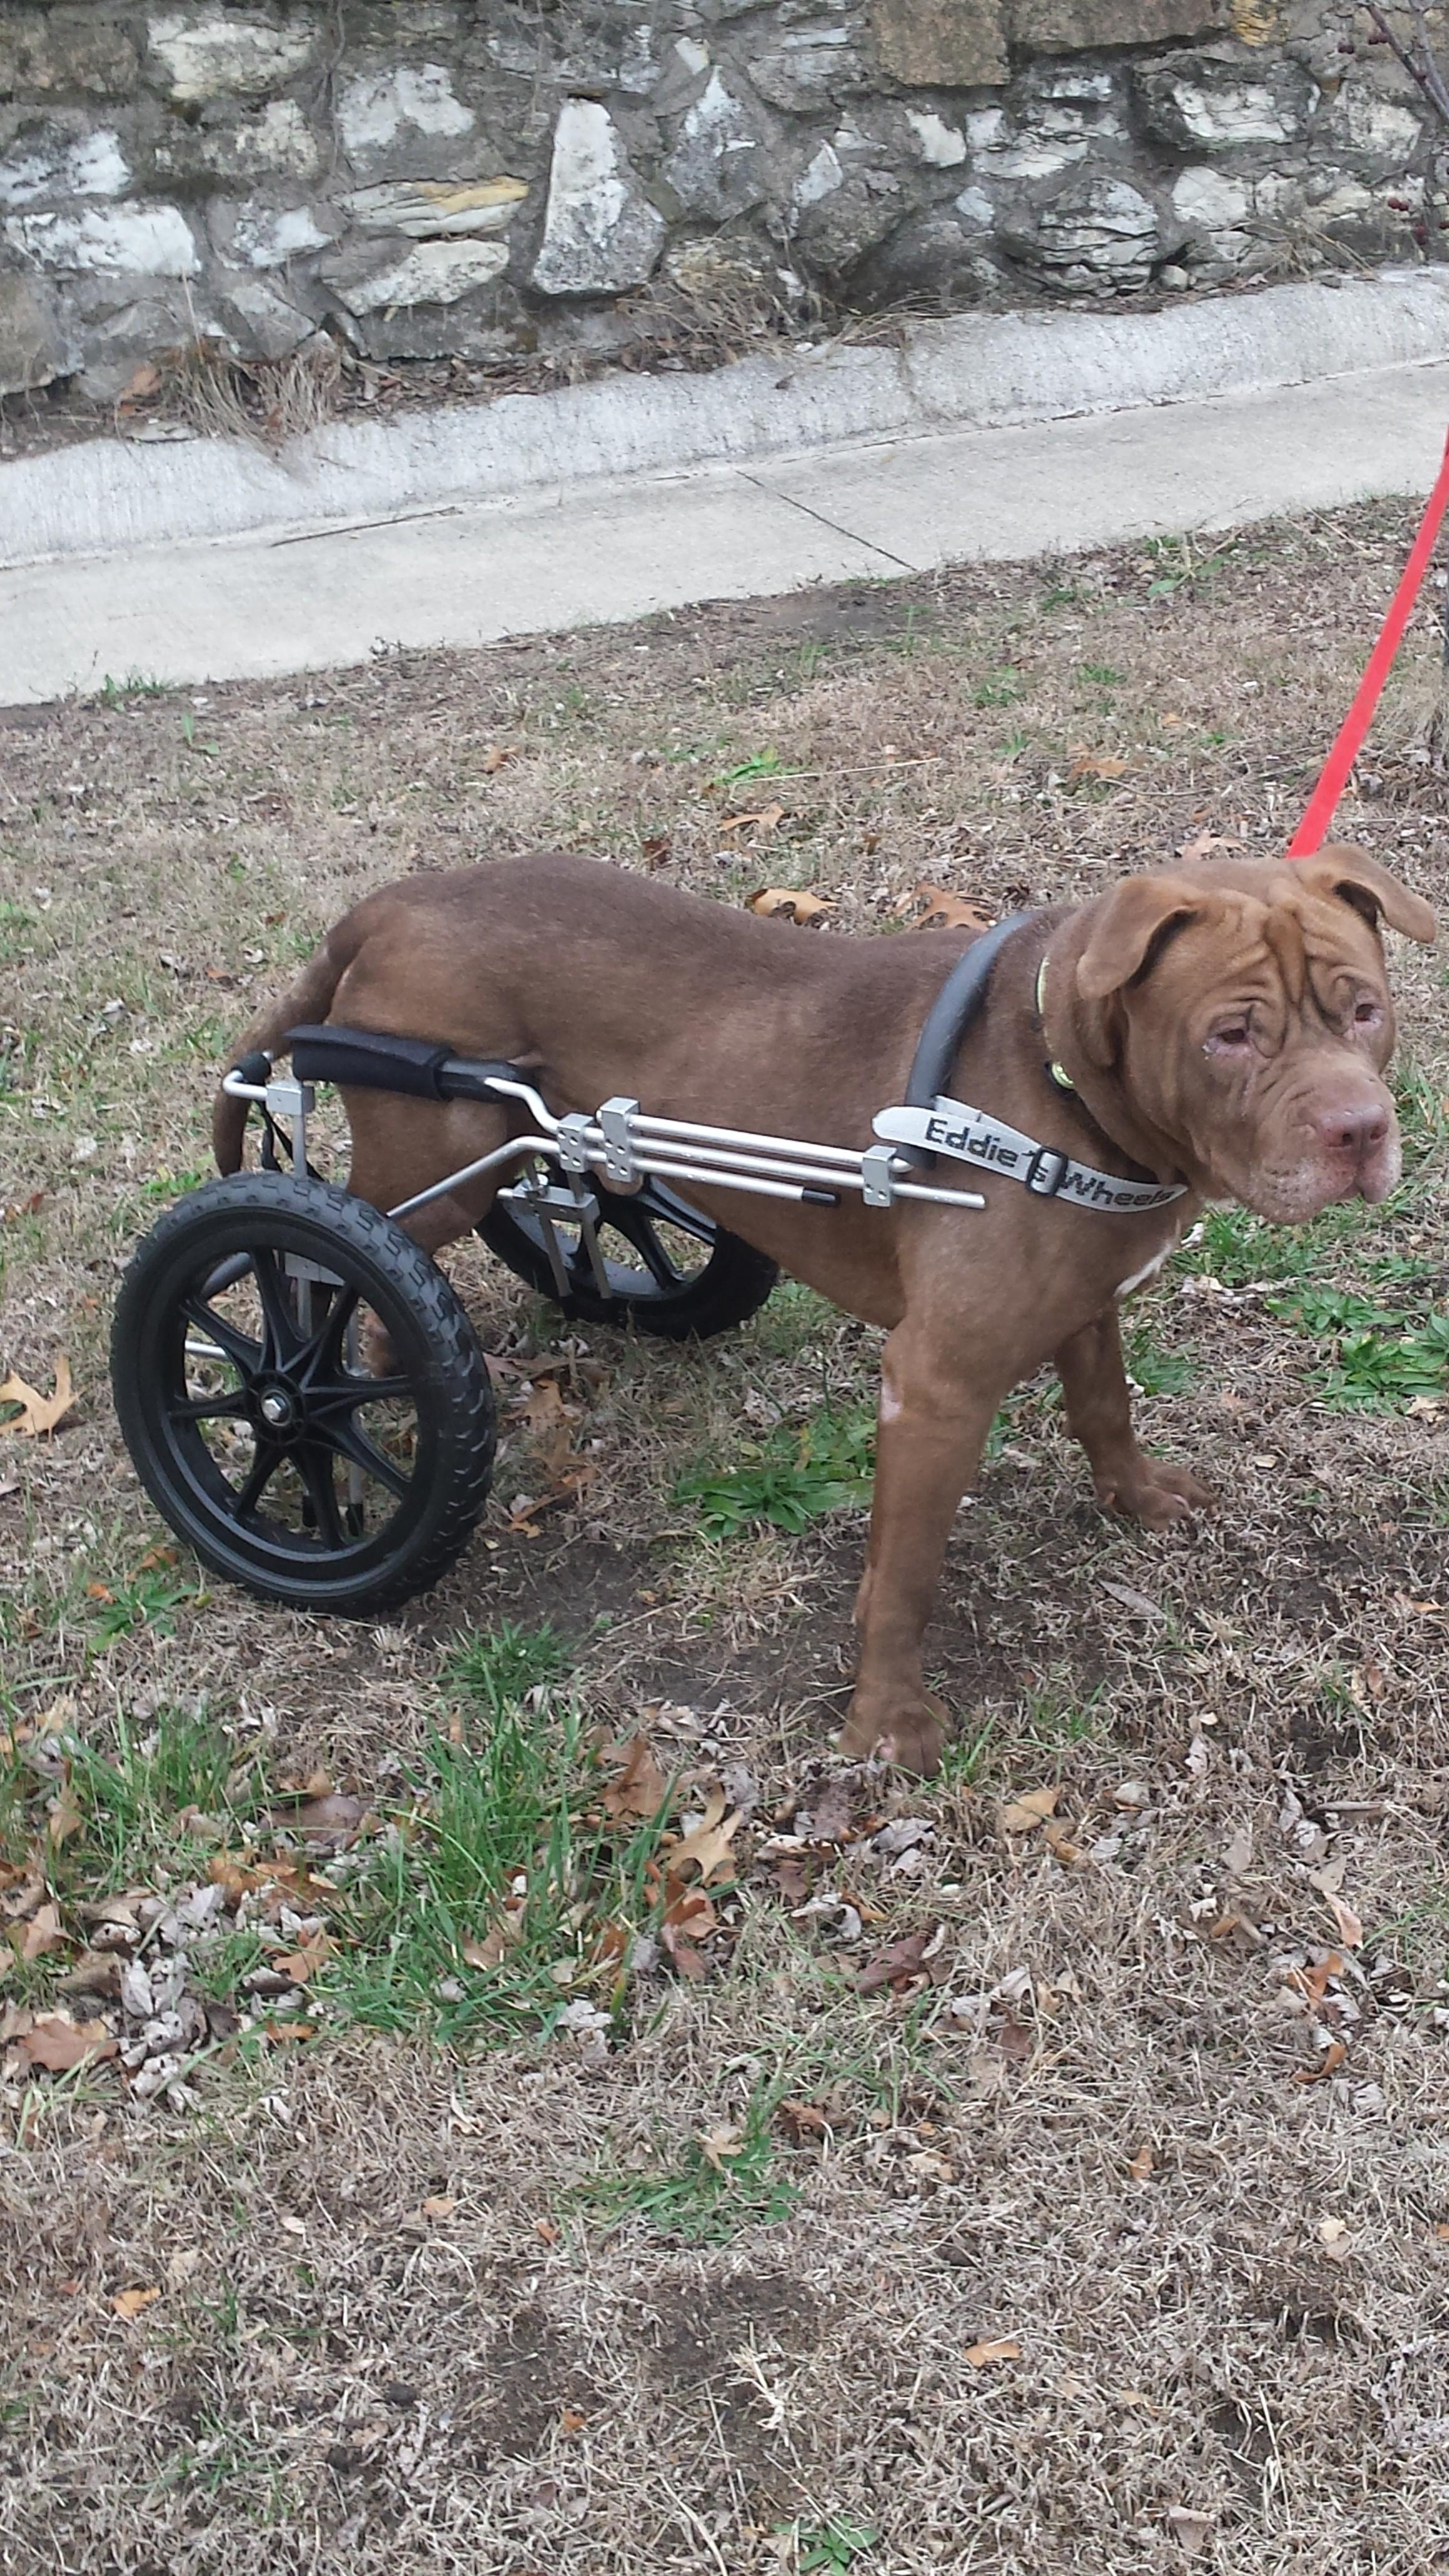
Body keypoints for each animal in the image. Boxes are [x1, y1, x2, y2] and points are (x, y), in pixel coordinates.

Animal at [217, 844, 1433, 1772]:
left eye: (1364, 1011)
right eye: (1231, 1035)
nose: (1358, 1130)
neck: (1065, 1078)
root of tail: (386, 904)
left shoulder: (1086, 1298)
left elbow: (1105, 1405)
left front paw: (1138, 1499)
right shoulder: (936, 1385)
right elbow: (906, 1574)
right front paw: (886, 1720)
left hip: (528, 1141)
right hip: (436, 1155)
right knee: (326, 1270)